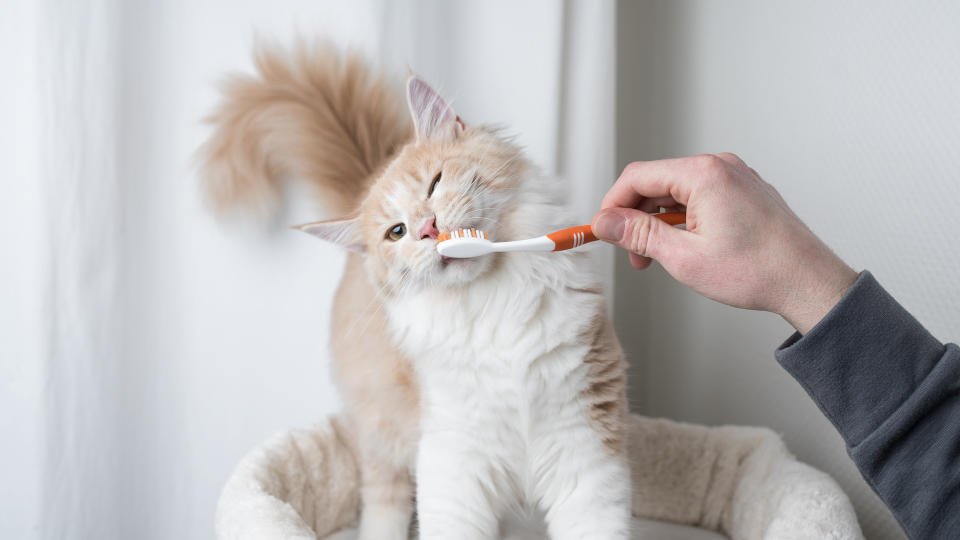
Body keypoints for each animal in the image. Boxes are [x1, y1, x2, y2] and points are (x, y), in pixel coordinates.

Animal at [200, 43, 632, 540]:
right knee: (381, 506)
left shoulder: (584, 443)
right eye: (397, 232)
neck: (493, 300)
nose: (428, 228)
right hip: (382, 440)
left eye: (435, 183)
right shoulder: (453, 459)